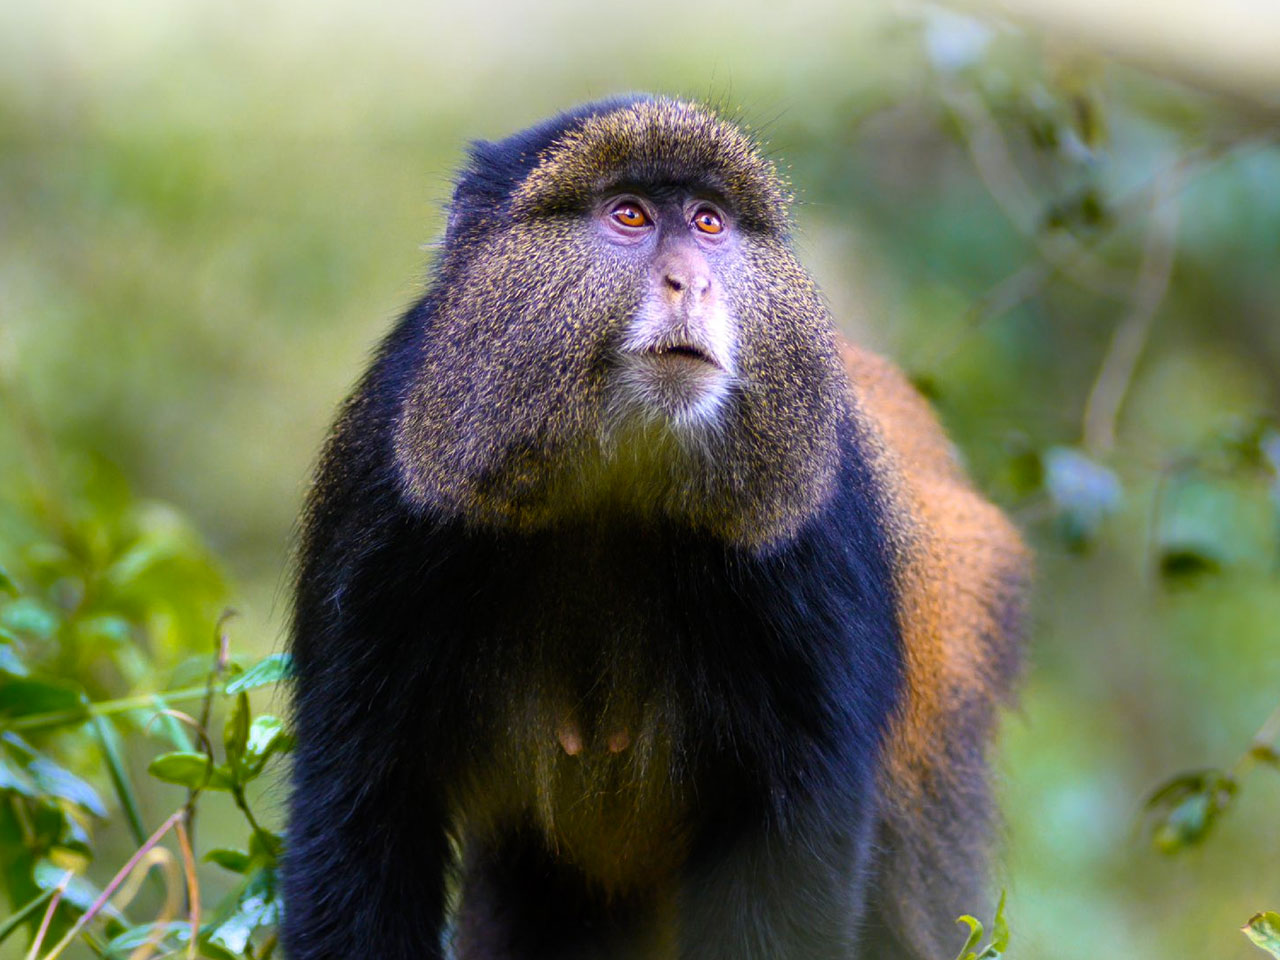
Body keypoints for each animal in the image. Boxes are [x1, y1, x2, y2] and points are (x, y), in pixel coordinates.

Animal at [281, 95, 1027, 960]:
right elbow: (360, 807)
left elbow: (795, 853)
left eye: (708, 223)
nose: (691, 281)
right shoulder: (381, 489)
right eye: (629, 215)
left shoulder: (819, 528)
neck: (613, 488)